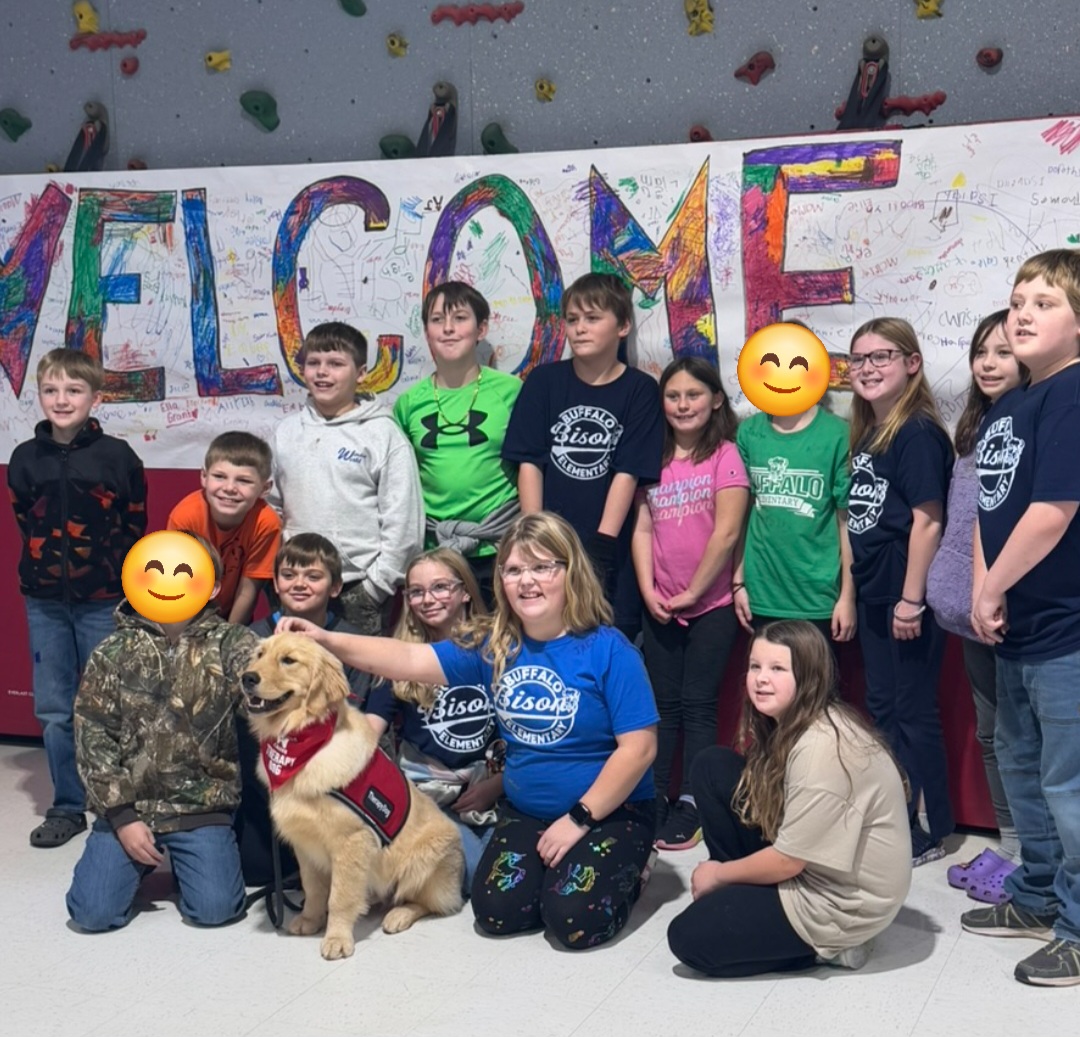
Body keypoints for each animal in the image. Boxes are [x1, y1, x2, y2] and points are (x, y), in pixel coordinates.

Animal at [243, 626, 462, 959]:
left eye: (289, 660)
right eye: (259, 654)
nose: (247, 678)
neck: (302, 742)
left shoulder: (351, 841)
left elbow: (340, 897)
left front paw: (337, 938)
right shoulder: (305, 843)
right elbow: (314, 889)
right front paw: (310, 919)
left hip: (426, 857)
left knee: (429, 903)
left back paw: (398, 915)